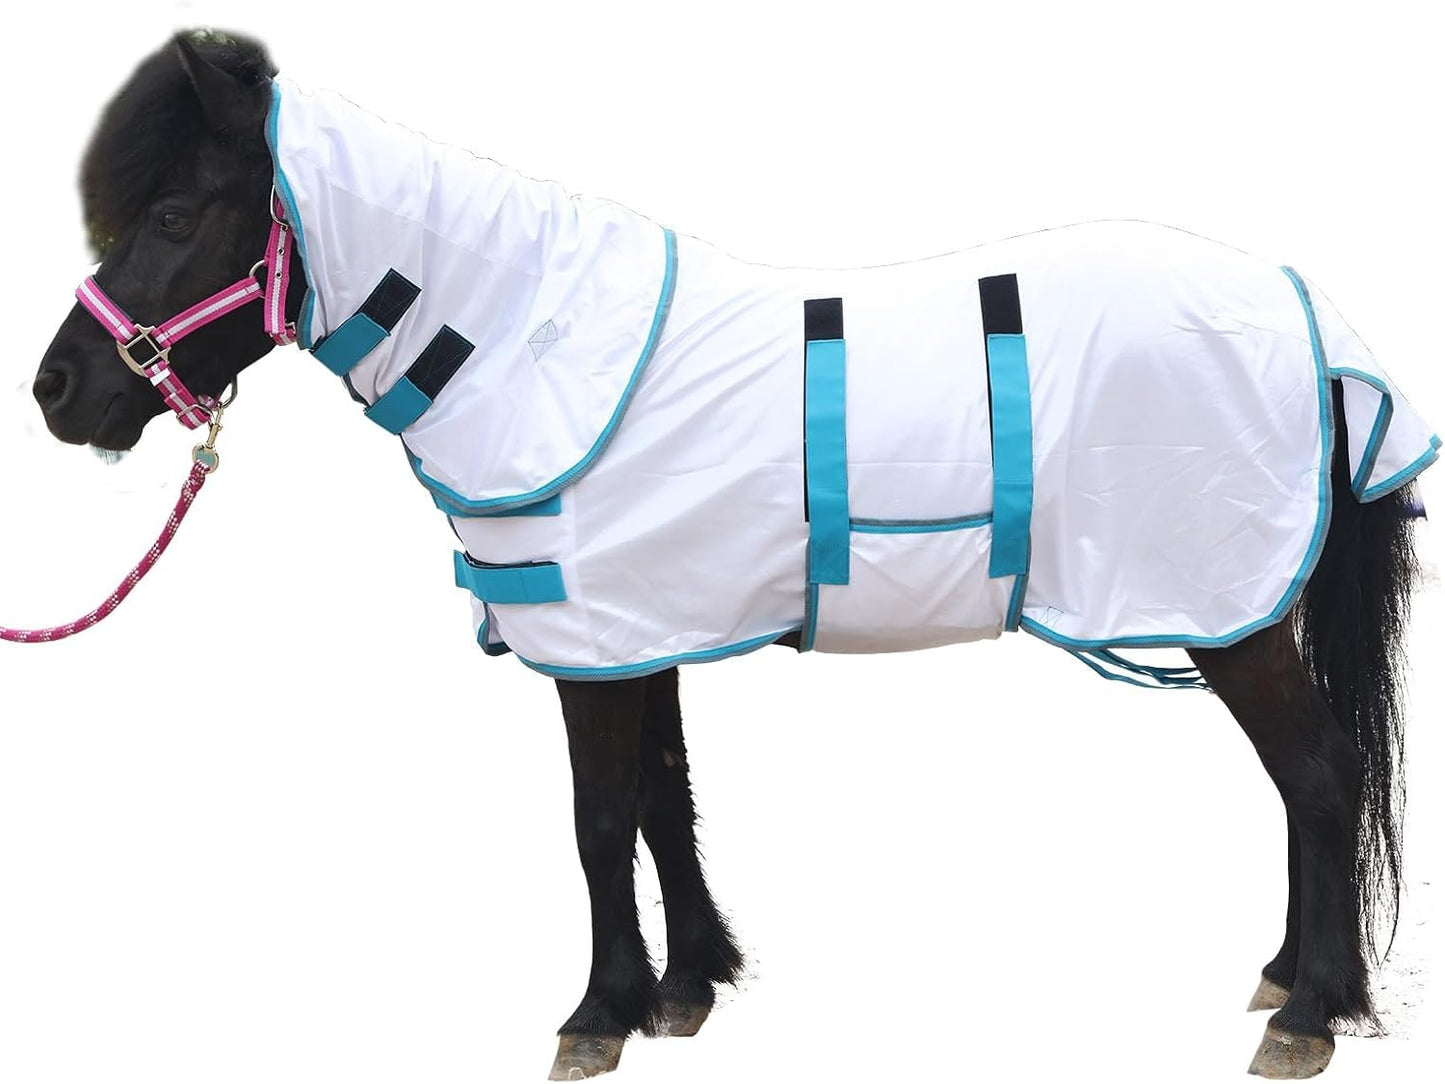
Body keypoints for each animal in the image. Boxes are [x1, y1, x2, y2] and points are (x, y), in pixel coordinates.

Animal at [28, 30, 1432, 1080]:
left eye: (172, 210)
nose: (57, 390)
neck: (528, 340)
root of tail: (1304, 315)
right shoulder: (638, 630)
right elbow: (664, 799)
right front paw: (689, 985)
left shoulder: (588, 649)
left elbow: (599, 820)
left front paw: (597, 1014)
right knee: (1306, 782)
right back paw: (1286, 977)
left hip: (1228, 611)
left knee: (1317, 774)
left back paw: (1309, 1010)